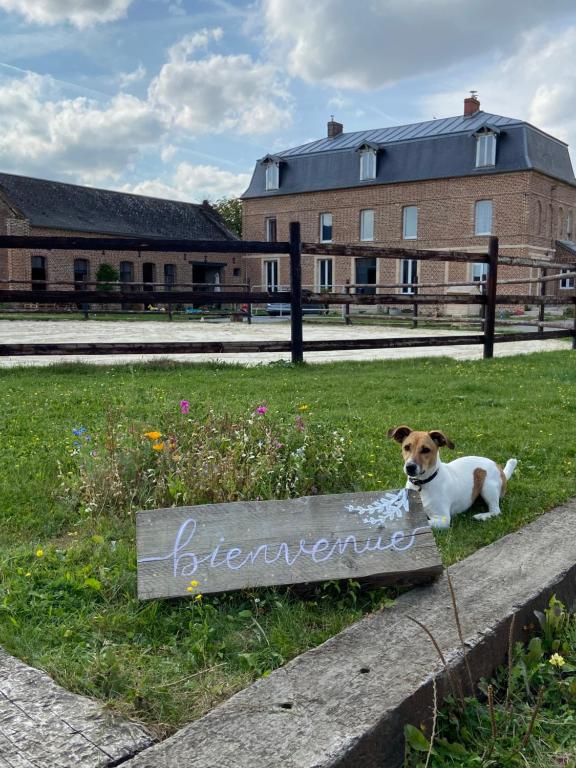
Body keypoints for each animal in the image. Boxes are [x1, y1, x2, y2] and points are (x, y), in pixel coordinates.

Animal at [388, 426, 516, 528]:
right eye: (406, 447)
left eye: (426, 450)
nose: (410, 467)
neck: (421, 484)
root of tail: (500, 469)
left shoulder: (442, 519)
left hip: (488, 487)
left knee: (496, 511)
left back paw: (482, 516)